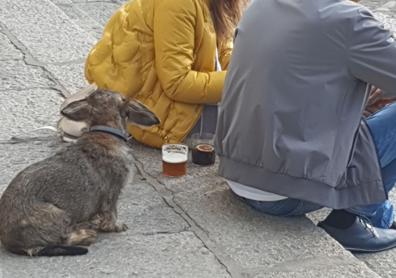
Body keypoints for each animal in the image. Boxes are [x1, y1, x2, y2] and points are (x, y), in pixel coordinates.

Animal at [0, 89, 159, 256]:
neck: (105, 129)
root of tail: (16, 244)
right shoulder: (113, 193)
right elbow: (111, 213)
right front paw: (117, 226)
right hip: (59, 214)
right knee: (64, 238)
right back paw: (86, 234)